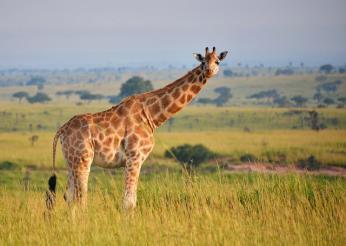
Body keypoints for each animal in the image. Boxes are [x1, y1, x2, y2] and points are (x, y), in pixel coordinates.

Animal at [46, 47, 228, 210]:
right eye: (203, 61)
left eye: (217, 61)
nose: (209, 71)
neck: (152, 115)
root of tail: (62, 130)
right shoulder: (135, 156)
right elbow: (128, 202)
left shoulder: (134, 159)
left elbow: (131, 199)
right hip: (83, 159)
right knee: (80, 196)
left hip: (71, 160)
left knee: (69, 196)